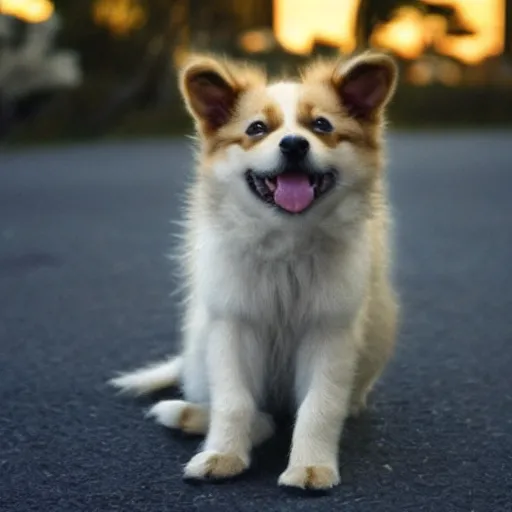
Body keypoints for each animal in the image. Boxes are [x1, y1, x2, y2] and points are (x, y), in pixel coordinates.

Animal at [110, 52, 400, 492]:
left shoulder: (329, 333)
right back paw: (187, 415)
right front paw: (223, 455)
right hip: (200, 342)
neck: (287, 247)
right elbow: (233, 403)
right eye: (257, 129)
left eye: (321, 126)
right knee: (251, 414)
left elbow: (320, 406)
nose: (294, 144)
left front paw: (311, 466)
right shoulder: (232, 328)